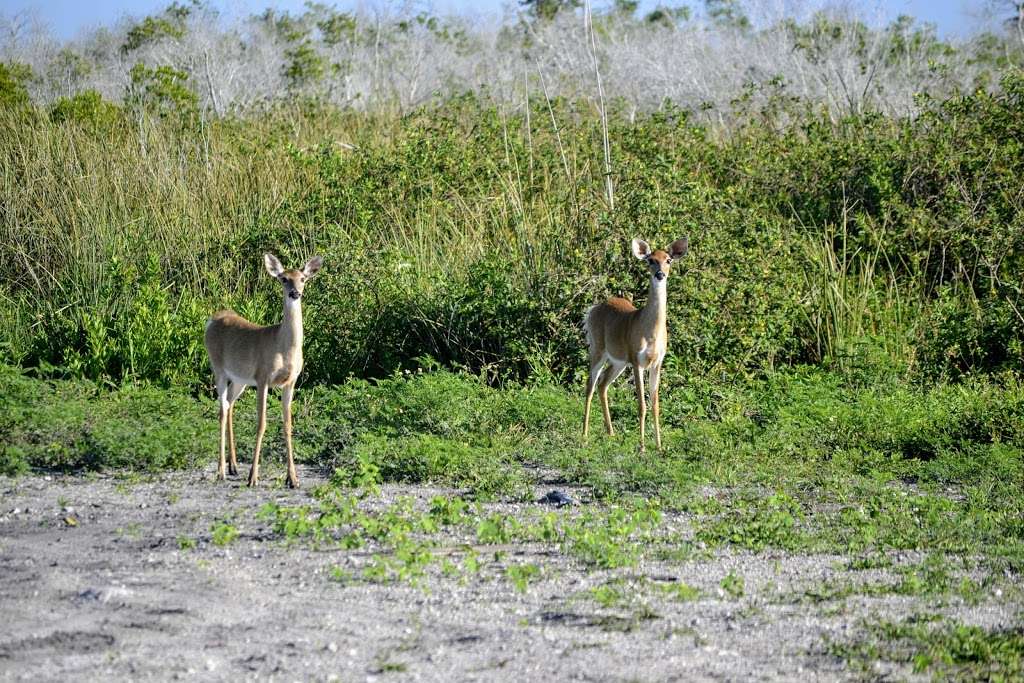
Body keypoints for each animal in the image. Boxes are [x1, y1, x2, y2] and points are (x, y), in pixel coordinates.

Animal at [201, 253, 321, 489]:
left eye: (303, 278)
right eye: (283, 279)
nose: (295, 293)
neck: (283, 347)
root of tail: (212, 319)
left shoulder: (290, 382)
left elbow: (287, 424)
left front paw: (293, 479)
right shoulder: (263, 377)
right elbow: (261, 423)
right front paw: (253, 477)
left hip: (240, 379)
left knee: (230, 404)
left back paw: (233, 466)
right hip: (218, 367)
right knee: (221, 410)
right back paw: (221, 471)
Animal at [585, 237, 688, 450]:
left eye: (669, 260)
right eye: (650, 260)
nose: (660, 274)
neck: (651, 333)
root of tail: (592, 309)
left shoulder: (657, 362)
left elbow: (655, 404)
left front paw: (659, 446)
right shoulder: (637, 360)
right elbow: (641, 405)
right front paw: (641, 447)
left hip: (619, 362)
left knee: (602, 384)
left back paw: (611, 433)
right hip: (597, 348)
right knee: (589, 386)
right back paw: (584, 435)